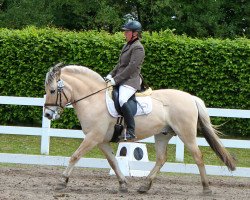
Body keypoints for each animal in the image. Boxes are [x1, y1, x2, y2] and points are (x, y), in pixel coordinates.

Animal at [43, 62, 236, 194]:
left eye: (52, 91)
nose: (48, 115)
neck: (93, 99)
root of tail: (190, 97)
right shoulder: (101, 141)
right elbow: (113, 162)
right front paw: (123, 184)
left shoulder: (93, 137)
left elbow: (75, 156)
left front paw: (62, 181)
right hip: (162, 135)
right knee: (161, 159)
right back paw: (144, 186)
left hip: (186, 133)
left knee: (198, 156)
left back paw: (206, 188)